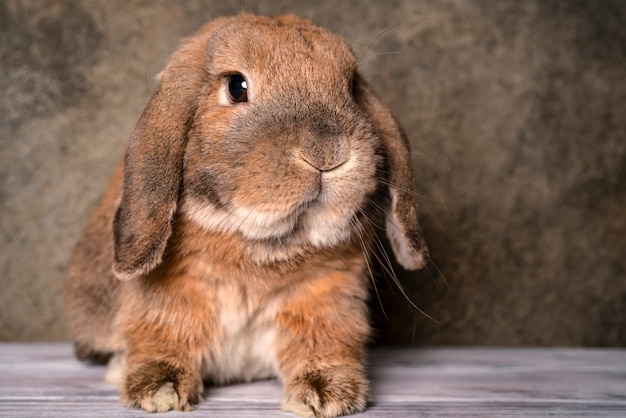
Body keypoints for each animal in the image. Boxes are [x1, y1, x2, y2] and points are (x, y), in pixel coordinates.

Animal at [64, 13, 424, 418]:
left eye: (350, 87)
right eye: (237, 86)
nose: (327, 153)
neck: (262, 244)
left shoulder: (329, 300)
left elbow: (326, 343)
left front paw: (326, 395)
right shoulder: (164, 299)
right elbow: (161, 334)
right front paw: (161, 391)